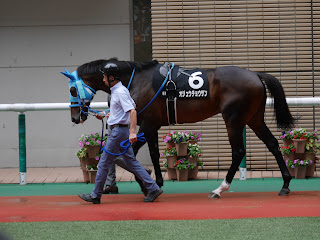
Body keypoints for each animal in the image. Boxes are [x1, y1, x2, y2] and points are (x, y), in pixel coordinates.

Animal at [66, 58, 294, 199]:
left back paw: (220, 189)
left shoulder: (147, 124)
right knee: (272, 143)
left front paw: (148, 183)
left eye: (72, 90)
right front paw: (152, 182)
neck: (135, 80)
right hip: (254, 118)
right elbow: (146, 153)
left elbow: (134, 154)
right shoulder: (152, 125)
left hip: (234, 119)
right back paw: (285, 184)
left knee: (238, 151)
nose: (75, 117)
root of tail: (255, 74)